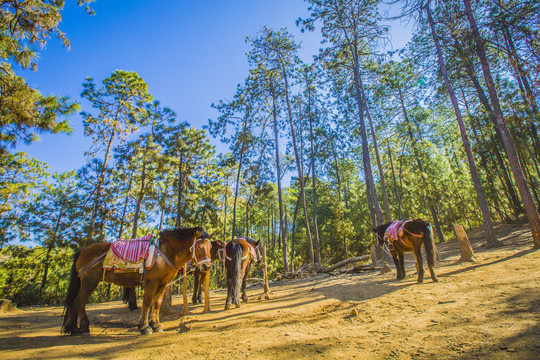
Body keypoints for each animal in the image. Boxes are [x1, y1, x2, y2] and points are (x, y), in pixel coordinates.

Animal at [59, 228, 211, 334]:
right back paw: (84, 326)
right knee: (79, 301)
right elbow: (147, 303)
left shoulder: (163, 283)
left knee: (75, 301)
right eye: (199, 247)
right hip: (89, 281)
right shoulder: (152, 282)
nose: (207, 266)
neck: (165, 253)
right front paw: (144, 327)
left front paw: (156, 325)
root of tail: (83, 251)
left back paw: (73, 328)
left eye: (210, 247)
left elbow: (157, 303)